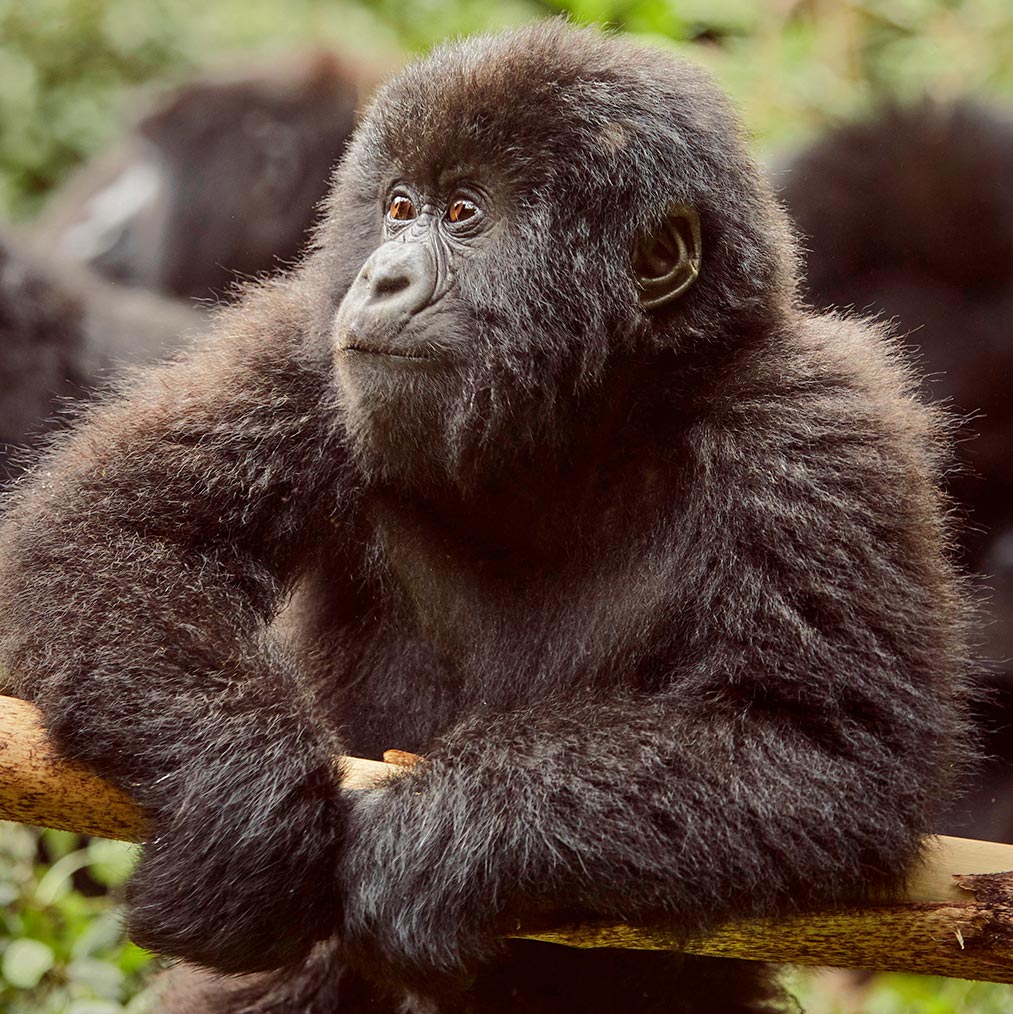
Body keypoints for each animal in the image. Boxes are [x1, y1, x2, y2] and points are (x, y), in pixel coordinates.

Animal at [0, 23, 972, 1013]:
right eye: (398, 208)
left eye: (463, 213)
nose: (382, 277)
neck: (582, 416)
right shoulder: (307, 348)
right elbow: (117, 538)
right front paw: (239, 798)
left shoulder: (818, 423)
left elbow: (821, 743)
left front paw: (440, 841)